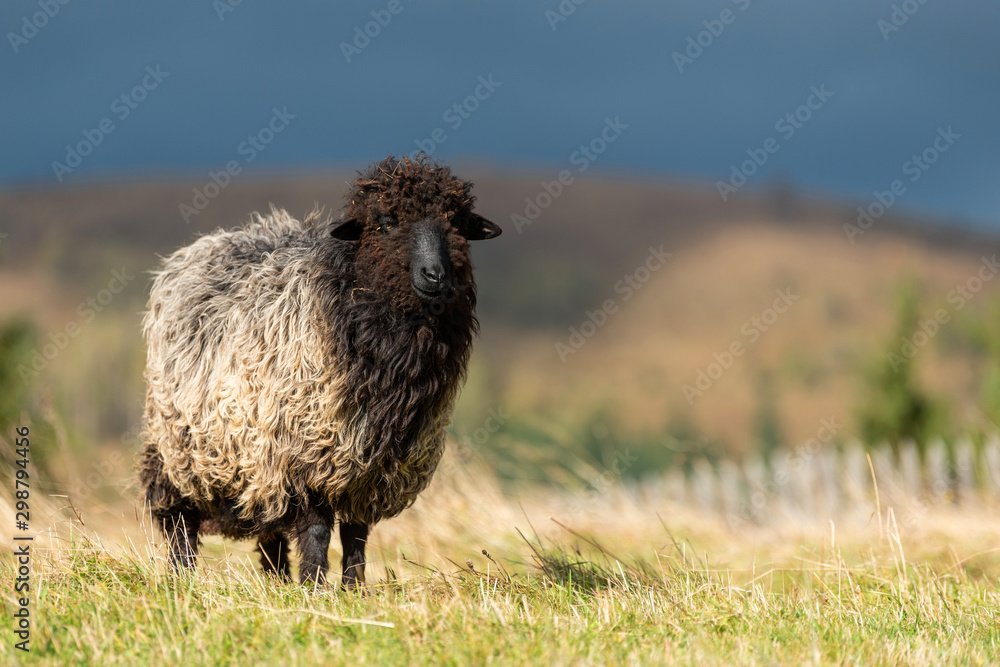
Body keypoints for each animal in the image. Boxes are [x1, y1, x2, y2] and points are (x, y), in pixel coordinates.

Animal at [139, 155, 500, 584]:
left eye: (457, 224)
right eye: (386, 223)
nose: (435, 275)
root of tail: (212, 241)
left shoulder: (368, 470)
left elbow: (356, 533)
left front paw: (354, 588)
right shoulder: (306, 453)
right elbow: (316, 530)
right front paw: (313, 585)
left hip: (254, 456)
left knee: (270, 529)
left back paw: (277, 580)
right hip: (180, 445)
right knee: (181, 521)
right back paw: (183, 577)